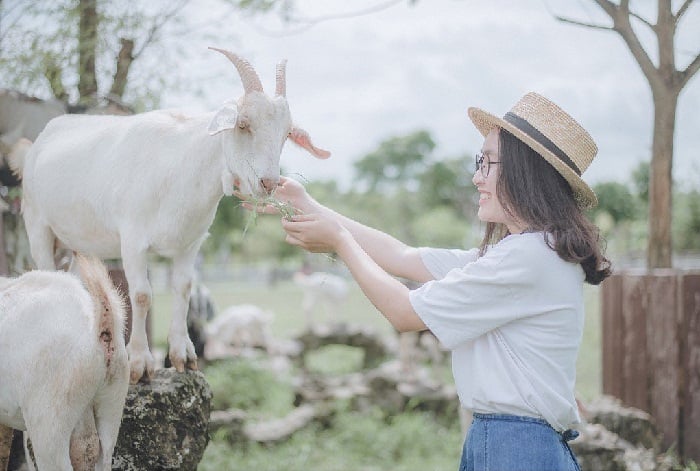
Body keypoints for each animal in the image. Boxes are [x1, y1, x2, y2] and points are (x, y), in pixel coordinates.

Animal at [8, 47, 330, 384]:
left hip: (75, 243)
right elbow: (141, 295)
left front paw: (182, 357)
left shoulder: (190, 243)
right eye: (243, 124)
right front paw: (139, 364)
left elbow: (183, 289)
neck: (179, 166)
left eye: (286, 134)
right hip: (37, 224)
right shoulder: (132, 240)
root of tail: (33, 149)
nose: (268, 182)